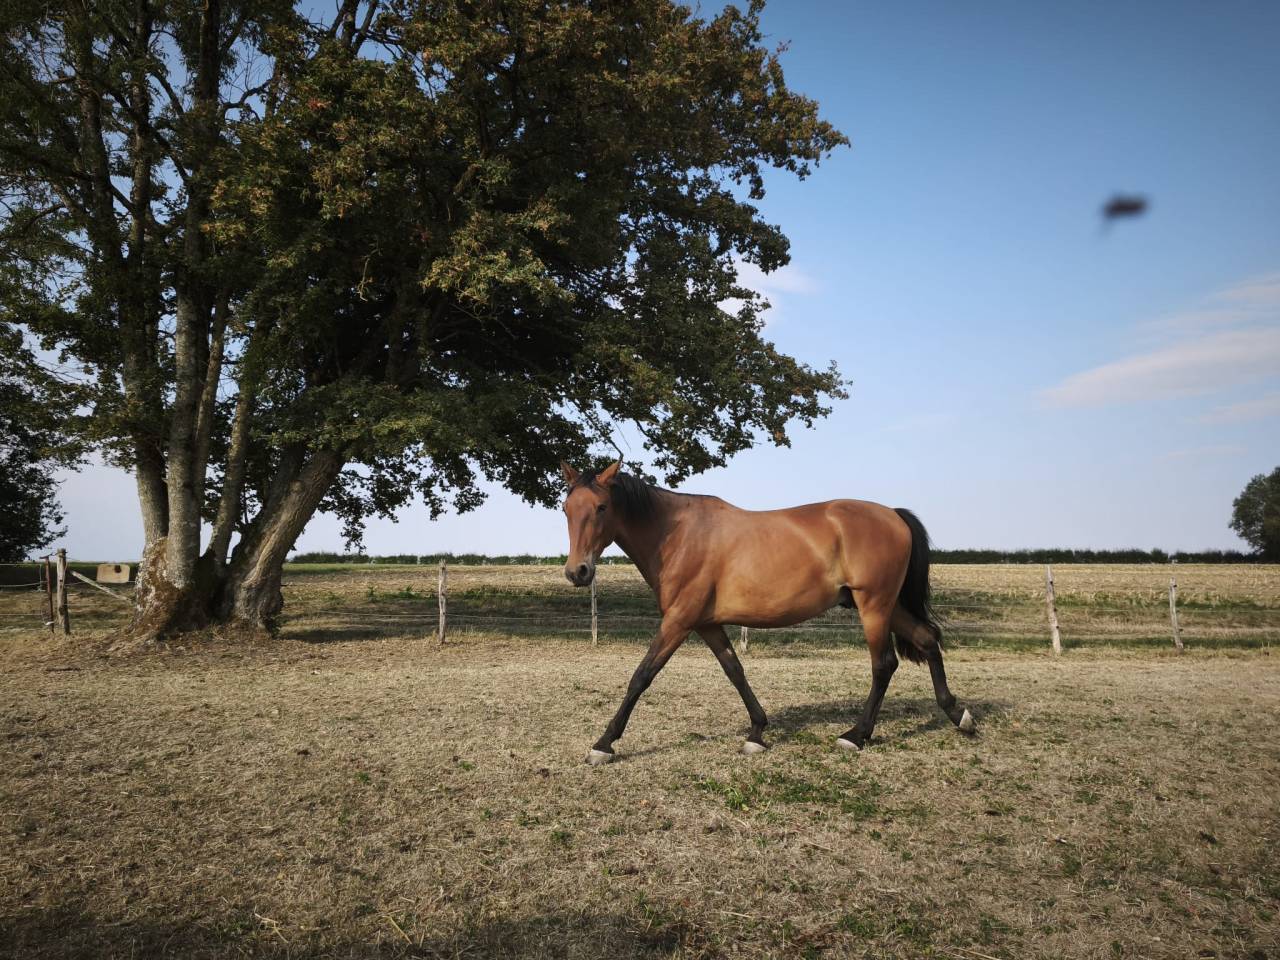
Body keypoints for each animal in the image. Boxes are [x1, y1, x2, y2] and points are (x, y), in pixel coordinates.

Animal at [559, 460, 975, 765]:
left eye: (601, 507)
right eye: (566, 509)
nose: (578, 572)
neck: (677, 535)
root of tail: (893, 514)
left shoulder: (678, 621)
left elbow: (641, 676)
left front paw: (604, 743)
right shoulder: (707, 624)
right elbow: (735, 671)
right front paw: (757, 732)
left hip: (874, 605)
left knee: (884, 664)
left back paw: (856, 735)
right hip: (886, 604)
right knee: (927, 639)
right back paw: (958, 715)